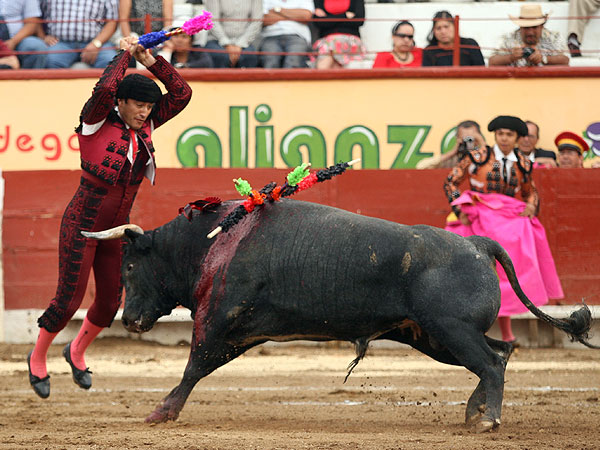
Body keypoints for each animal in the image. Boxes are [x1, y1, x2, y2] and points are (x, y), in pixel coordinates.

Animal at [84, 199, 596, 430]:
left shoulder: (219, 324)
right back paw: (475, 413)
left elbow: (193, 367)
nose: (129, 320)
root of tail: (476, 243)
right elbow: (198, 367)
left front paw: (161, 411)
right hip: (432, 336)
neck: (211, 242)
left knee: (490, 362)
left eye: (129, 266)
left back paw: (487, 420)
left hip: (449, 331)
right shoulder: (235, 332)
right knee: (501, 353)